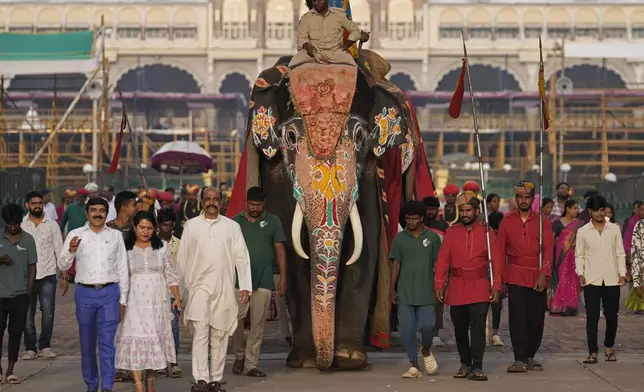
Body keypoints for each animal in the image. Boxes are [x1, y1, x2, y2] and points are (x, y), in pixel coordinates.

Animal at [225, 49, 432, 370]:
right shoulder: (275, 171)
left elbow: (365, 243)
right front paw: (305, 361)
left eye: (359, 136)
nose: (325, 363)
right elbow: (291, 248)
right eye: (291, 137)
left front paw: (349, 358)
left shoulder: (369, 170)